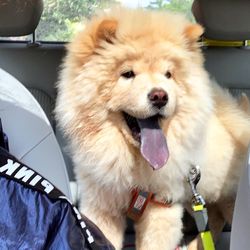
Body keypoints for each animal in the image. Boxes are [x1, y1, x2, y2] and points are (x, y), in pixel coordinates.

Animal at [55, 6, 250, 249]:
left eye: (168, 75)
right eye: (127, 74)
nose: (159, 96)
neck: (133, 164)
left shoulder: (162, 206)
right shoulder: (102, 205)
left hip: (225, 197)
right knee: (213, 219)